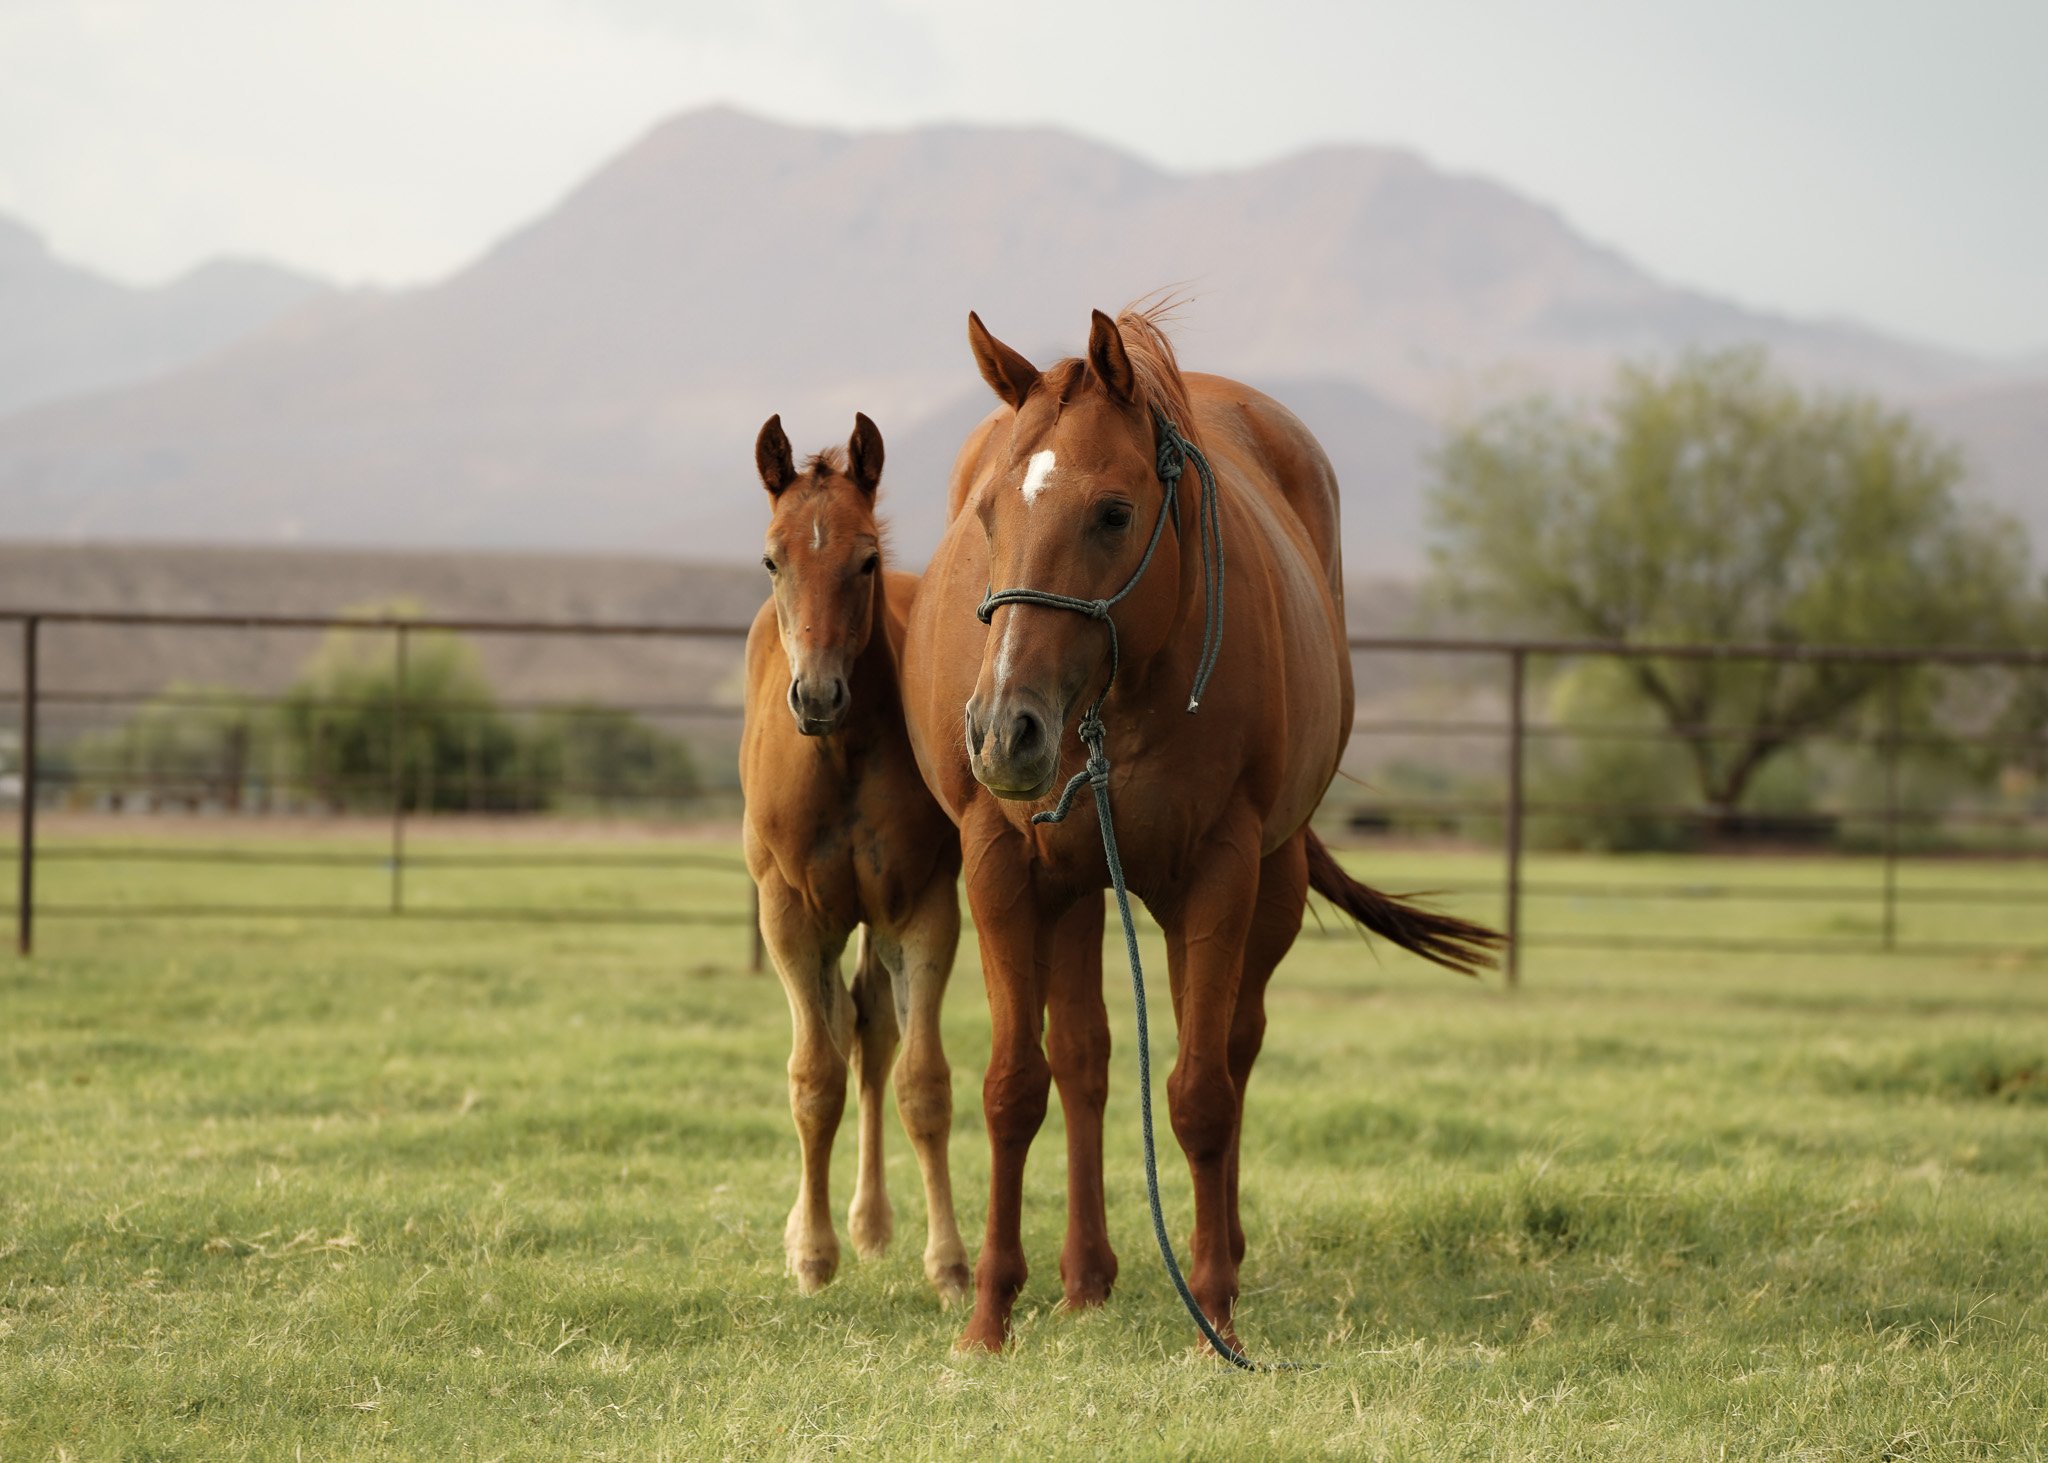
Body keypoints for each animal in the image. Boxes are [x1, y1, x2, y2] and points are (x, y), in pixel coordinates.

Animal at [739, 412, 971, 1305]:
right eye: (773, 558)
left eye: (865, 558)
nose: (817, 696)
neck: (838, 757)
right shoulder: (790, 914)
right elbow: (815, 1078)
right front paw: (811, 1255)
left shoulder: (923, 906)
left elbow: (921, 1081)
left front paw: (951, 1266)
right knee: (843, 1033)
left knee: (873, 1032)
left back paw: (872, 1224)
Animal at [900, 303, 1501, 1355]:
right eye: (990, 514)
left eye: (1113, 512)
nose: (1004, 729)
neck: (1122, 696)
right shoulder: (1003, 866)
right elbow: (1016, 1085)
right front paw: (987, 1315)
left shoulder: (1219, 871)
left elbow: (1201, 1090)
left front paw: (1214, 1308)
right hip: (1074, 887)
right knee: (1086, 1061)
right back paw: (1084, 1276)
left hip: (1266, 884)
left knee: (1232, 1046)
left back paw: (1211, 1254)